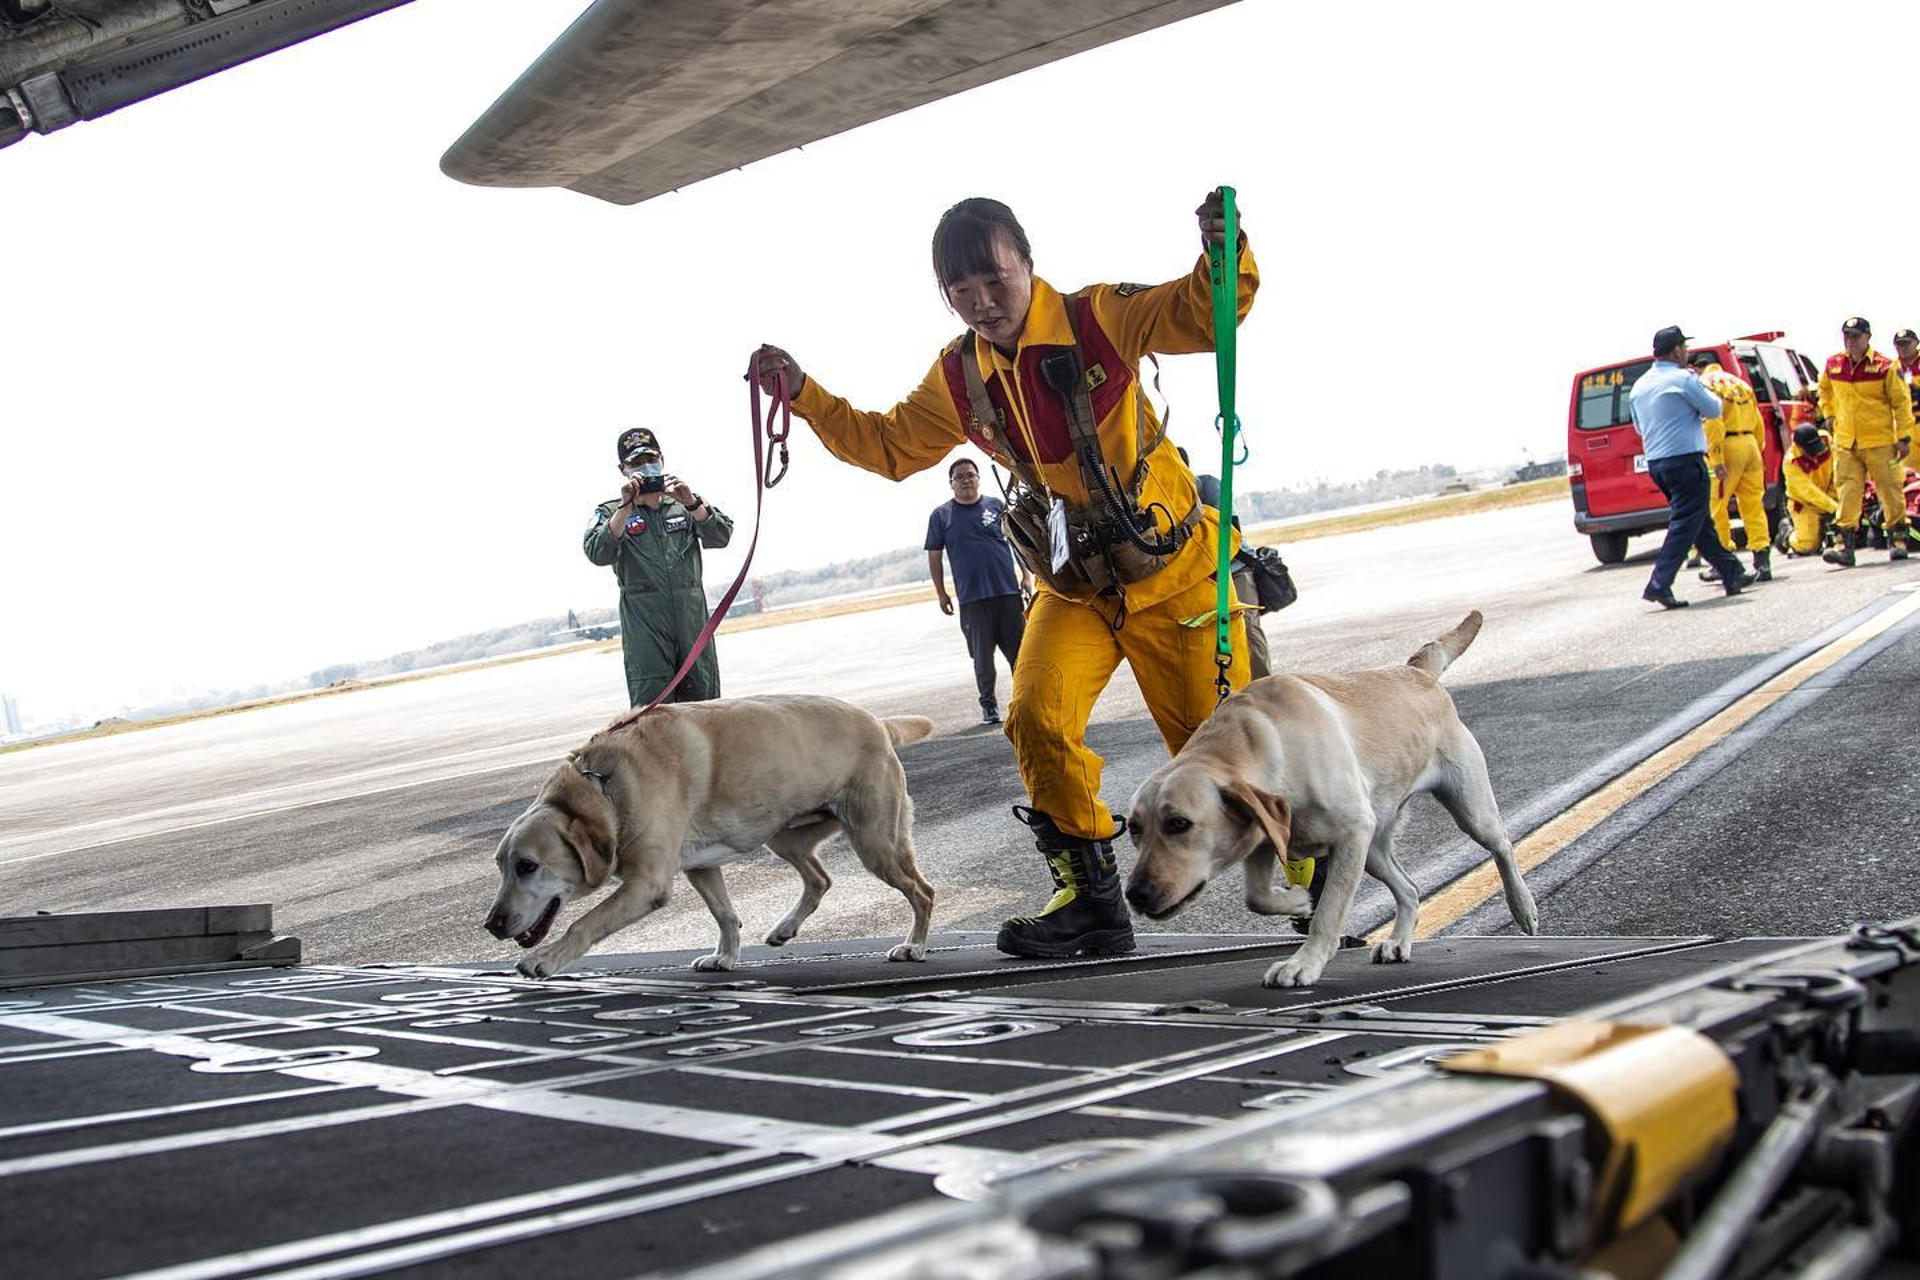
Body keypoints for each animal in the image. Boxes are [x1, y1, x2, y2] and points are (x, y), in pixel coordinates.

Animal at [487, 694, 936, 974]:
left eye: (527, 866)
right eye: (500, 867)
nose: (491, 924)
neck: (602, 787)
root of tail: (879, 724)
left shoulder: (646, 884)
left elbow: (585, 923)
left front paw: (546, 959)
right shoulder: (699, 867)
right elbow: (725, 914)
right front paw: (725, 957)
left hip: (876, 842)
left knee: (923, 891)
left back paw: (914, 946)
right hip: (784, 837)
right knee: (820, 879)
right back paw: (785, 928)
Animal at [1121, 610, 1536, 990]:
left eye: (1179, 823)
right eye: (1134, 830)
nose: (1135, 894)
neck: (1263, 743)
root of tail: (1417, 672)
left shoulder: (1350, 834)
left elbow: (1329, 912)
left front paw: (1304, 963)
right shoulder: (1265, 831)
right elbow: (1256, 896)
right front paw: (1296, 901)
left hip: (1466, 809)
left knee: (1501, 846)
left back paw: (1523, 907)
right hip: (1374, 849)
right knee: (1410, 889)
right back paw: (1398, 942)